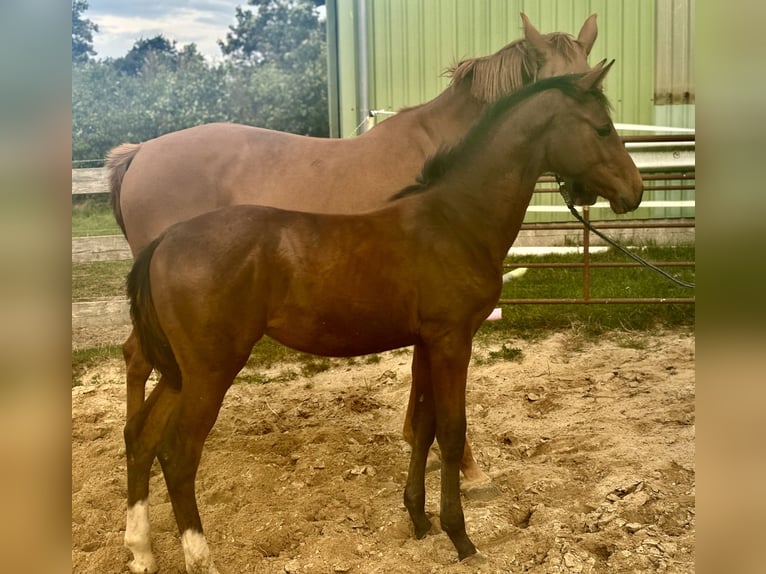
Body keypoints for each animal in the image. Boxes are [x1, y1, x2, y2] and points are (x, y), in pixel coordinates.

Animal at [123, 63, 643, 574]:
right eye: (603, 127)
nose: (634, 192)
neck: (455, 219)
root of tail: (164, 242)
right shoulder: (453, 340)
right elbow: (451, 432)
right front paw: (460, 537)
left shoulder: (429, 342)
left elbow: (425, 427)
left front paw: (419, 519)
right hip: (211, 370)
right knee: (178, 452)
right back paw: (199, 558)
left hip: (180, 373)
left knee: (141, 437)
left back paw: (142, 551)